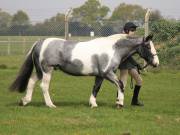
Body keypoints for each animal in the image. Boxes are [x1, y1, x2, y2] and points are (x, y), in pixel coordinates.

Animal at [9, 34, 159, 108]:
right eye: (148, 46)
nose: (156, 63)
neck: (113, 49)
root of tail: (41, 42)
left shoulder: (100, 75)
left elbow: (96, 89)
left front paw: (93, 104)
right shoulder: (108, 73)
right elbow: (121, 85)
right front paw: (119, 103)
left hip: (40, 71)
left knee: (31, 81)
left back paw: (25, 101)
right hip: (47, 70)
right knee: (44, 86)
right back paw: (50, 105)